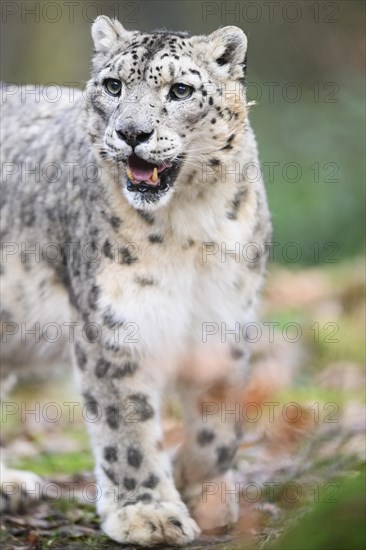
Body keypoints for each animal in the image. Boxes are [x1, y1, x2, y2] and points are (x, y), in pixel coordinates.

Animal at [0, 16, 272, 548]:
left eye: (180, 89)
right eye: (113, 85)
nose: (131, 132)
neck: (190, 223)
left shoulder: (225, 318)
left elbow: (219, 430)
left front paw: (200, 488)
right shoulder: (115, 323)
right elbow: (125, 425)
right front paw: (149, 513)